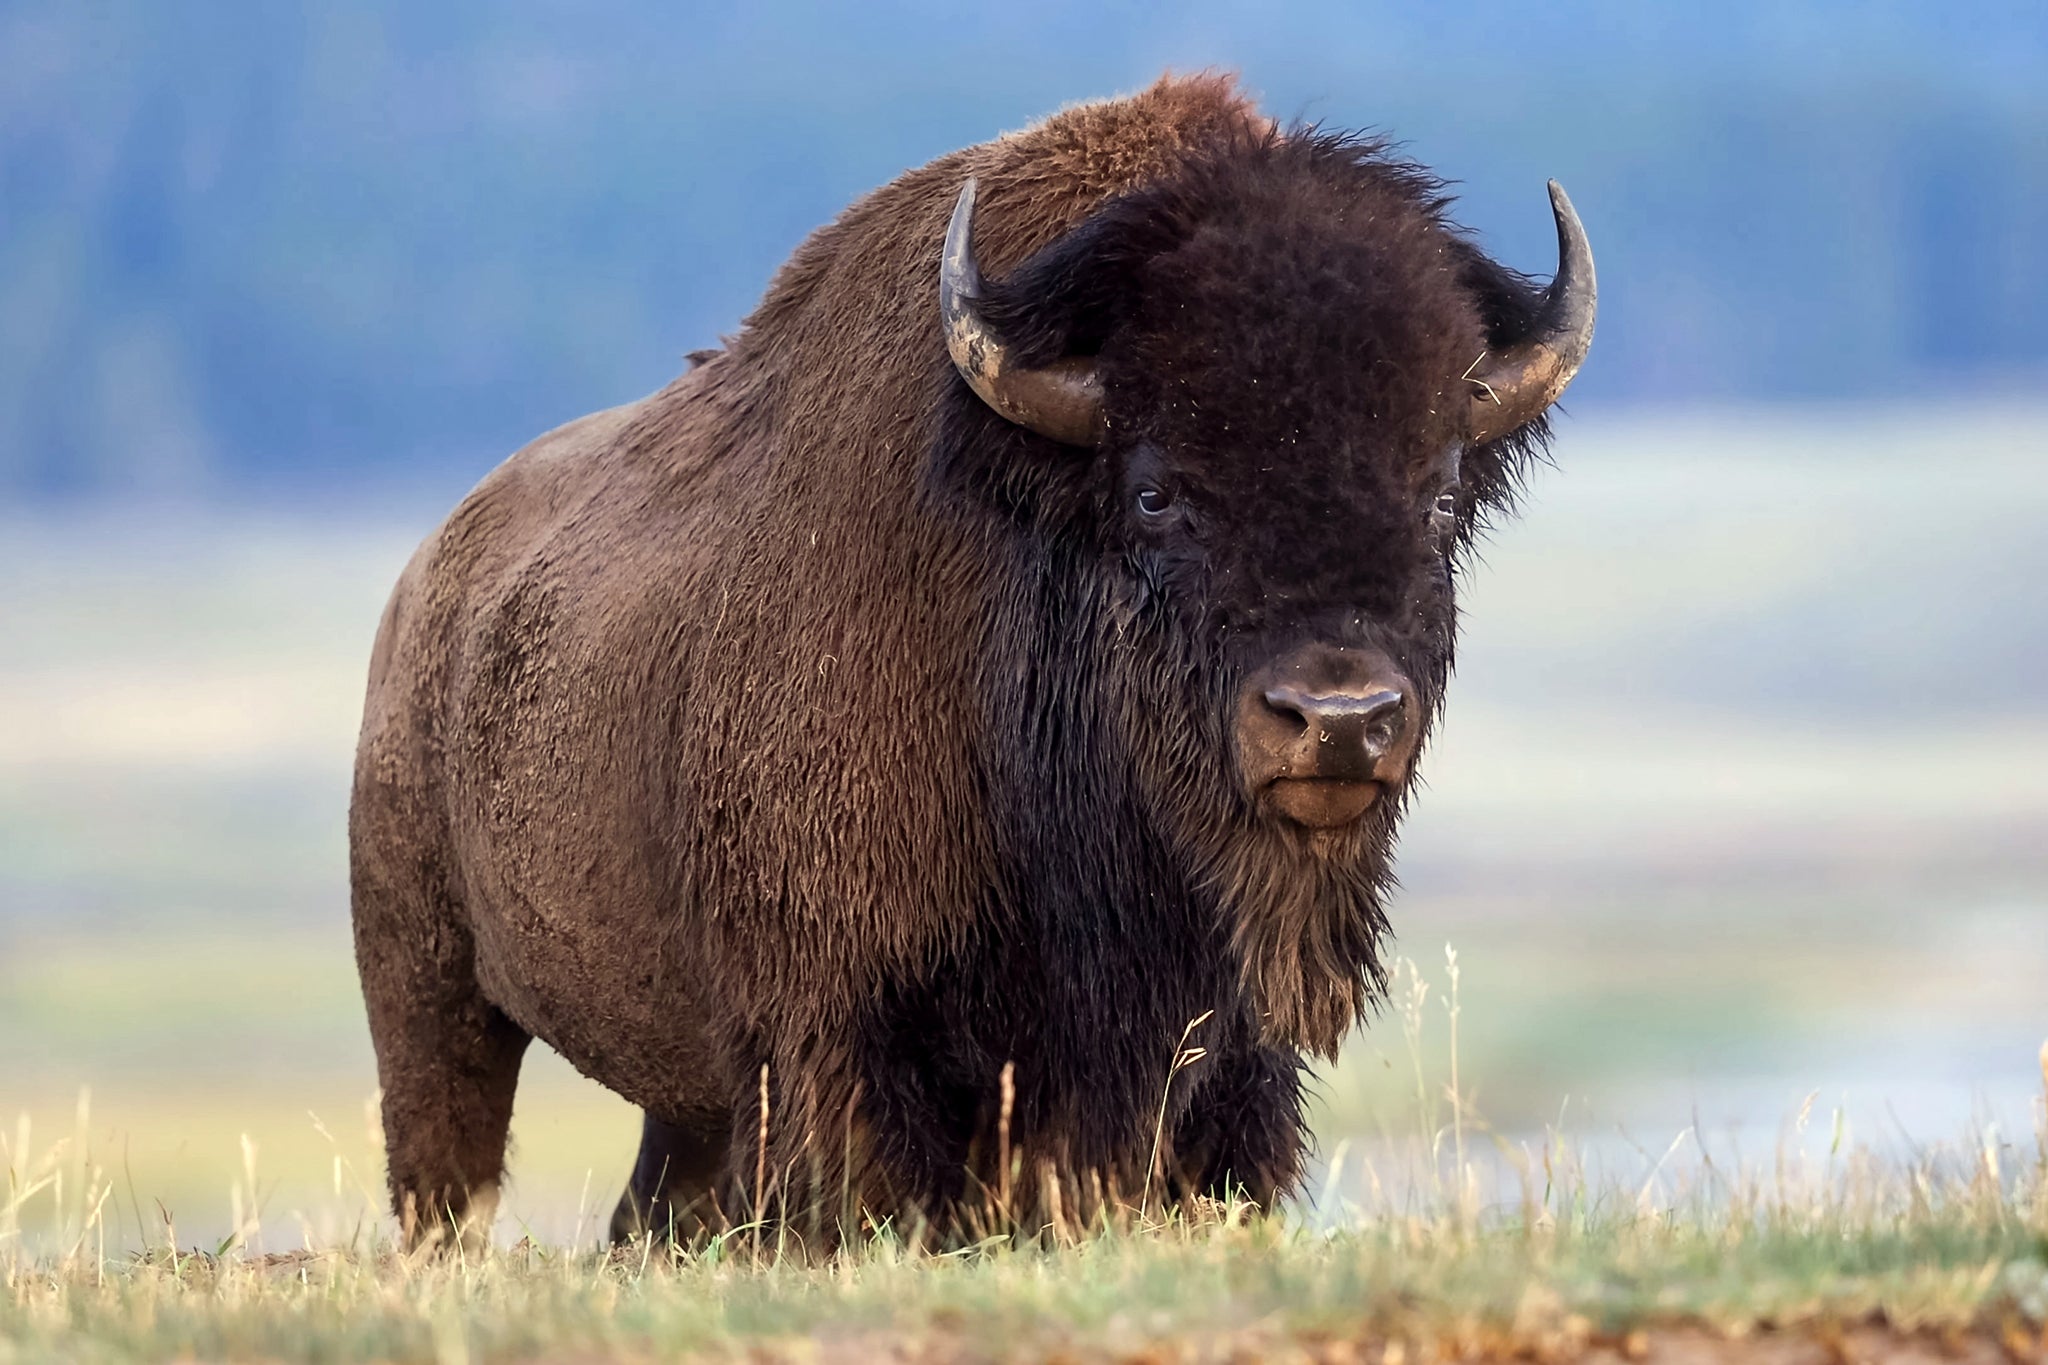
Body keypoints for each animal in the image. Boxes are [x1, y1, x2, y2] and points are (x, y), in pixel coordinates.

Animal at [350, 73, 1594, 1249]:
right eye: (1154, 493)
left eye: (1439, 495)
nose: (1335, 719)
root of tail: (422, 586)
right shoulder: (842, 1042)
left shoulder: (1220, 1069)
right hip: (429, 996)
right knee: (446, 1169)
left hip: (678, 1105)